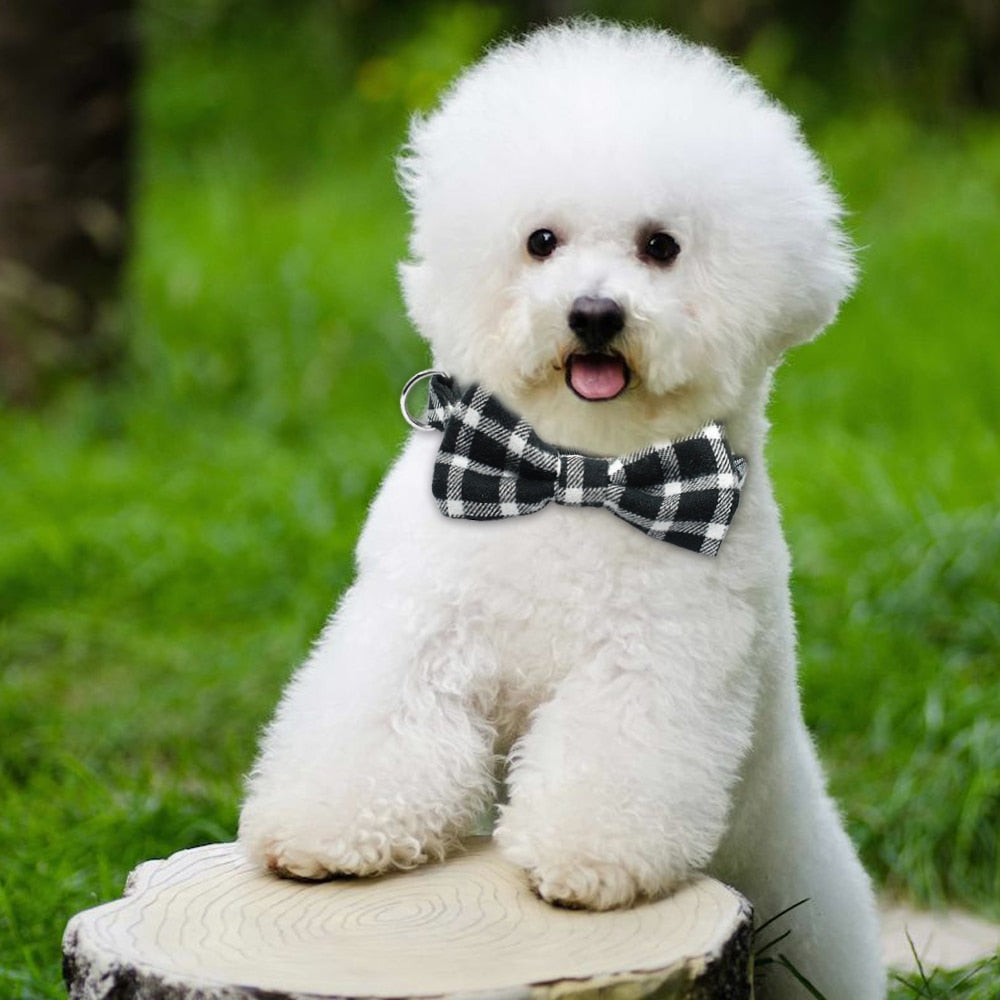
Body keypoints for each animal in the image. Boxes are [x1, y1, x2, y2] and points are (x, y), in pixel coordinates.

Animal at [238, 23, 888, 1000]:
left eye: (661, 246)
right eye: (540, 240)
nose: (594, 314)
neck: (577, 474)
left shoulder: (659, 657)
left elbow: (609, 758)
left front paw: (590, 865)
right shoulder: (419, 622)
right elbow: (376, 722)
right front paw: (325, 833)